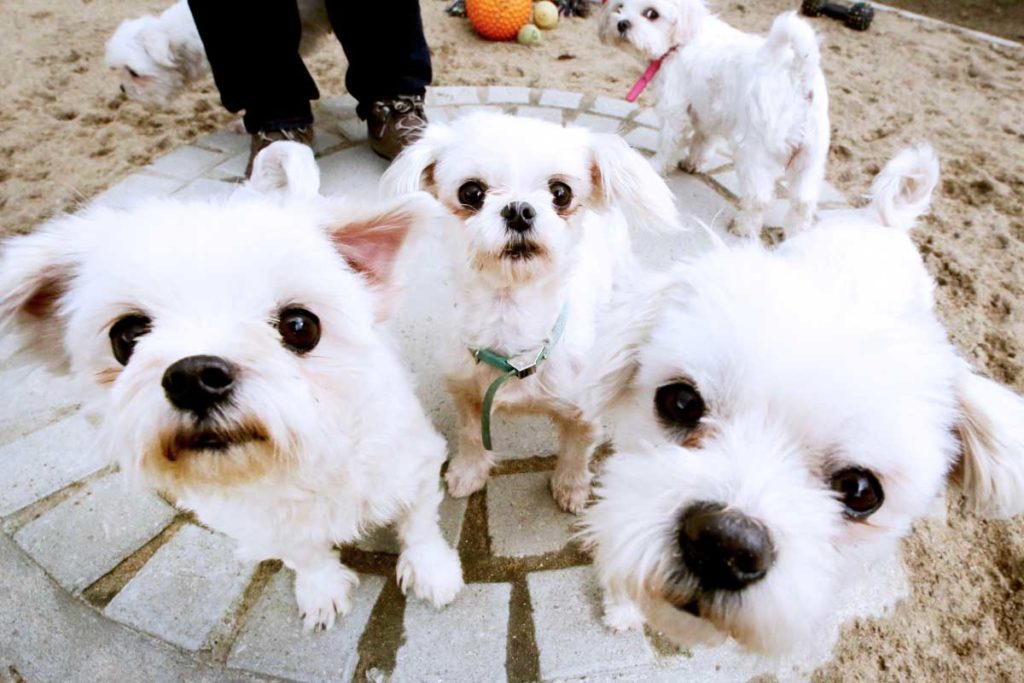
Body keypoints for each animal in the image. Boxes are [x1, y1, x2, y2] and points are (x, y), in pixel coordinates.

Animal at [0, 143, 464, 630]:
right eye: (126, 336)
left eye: (300, 326)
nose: (194, 377)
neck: (302, 458)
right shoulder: (266, 522)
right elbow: (305, 553)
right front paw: (321, 588)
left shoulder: (414, 464)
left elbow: (419, 524)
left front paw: (431, 570)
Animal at [380, 113, 684, 511]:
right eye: (471, 193)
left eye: (561, 193)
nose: (519, 209)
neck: (511, 324)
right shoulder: (466, 394)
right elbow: (471, 435)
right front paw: (469, 471)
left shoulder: (582, 411)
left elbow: (577, 449)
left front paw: (571, 486)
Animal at [598, 1, 831, 237]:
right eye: (620, 7)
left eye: (651, 14)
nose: (622, 23)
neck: (679, 43)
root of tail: (798, 73)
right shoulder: (708, 113)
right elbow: (703, 140)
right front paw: (693, 163)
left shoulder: (673, 109)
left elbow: (668, 144)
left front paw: (656, 166)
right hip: (810, 158)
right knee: (803, 202)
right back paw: (797, 234)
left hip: (754, 153)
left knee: (760, 198)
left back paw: (744, 227)